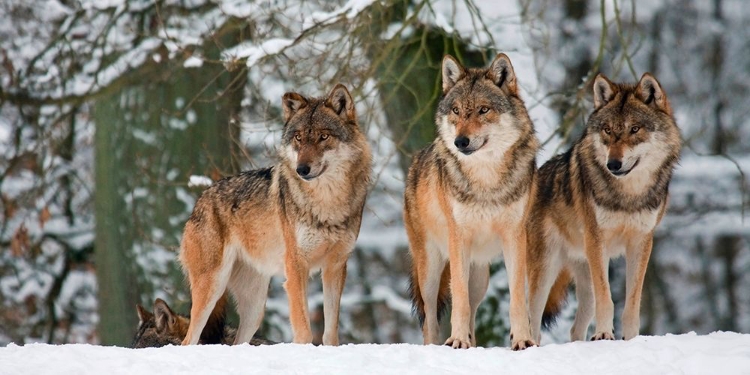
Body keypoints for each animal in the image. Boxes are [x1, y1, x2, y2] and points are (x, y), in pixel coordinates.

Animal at [180, 84, 374, 346]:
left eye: (323, 137)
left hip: (255, 309)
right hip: (211, 287)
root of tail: (199, 201)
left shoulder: (335, 267)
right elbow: (304, 330)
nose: (302, 169)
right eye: (298, 138)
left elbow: (330, 331)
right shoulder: (296, 267)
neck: (326, 202)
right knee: (188, 339)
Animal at [406, 54, 540, 352]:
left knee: (472, 310)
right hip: (430, 272)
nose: (460, 141)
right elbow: (458, 301)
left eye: (483, 110)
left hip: (480, 278)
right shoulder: (459, 238)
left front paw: (522, 340)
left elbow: (517, 298)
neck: (485, 180)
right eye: (456, 110)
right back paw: (438, 345)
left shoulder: (515, 237)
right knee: (430, 319)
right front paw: (456, 340)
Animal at [524, 72, 684, 344]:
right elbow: (607, 298)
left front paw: (630, 339)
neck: (628, 195)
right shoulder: (598, 241)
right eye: (608, 130)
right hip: (545, 271)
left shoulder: (641, 242)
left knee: (575, 328)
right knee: (532, 319)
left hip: (583, 279)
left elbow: (632, 302)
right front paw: (603, 335)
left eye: (634, 129)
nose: (613, 164)